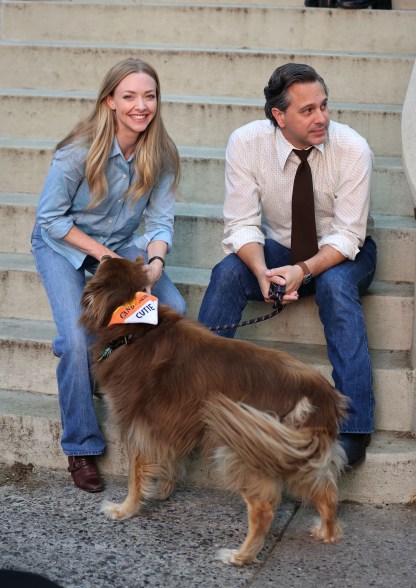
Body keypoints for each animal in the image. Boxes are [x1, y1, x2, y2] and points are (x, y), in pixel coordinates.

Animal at [79, 256, 346, 564]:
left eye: (104, 265)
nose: (102, 255)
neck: (136, 328)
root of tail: (320, 395)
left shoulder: (136, 425)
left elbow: (135, 477)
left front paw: (125, 509)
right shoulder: (166, 425)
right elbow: (168, 461)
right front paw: (161, 491)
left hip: (244, 447)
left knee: (264, 510)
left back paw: (239, 556)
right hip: (290, 452)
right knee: (326, 492)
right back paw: (326, 532)